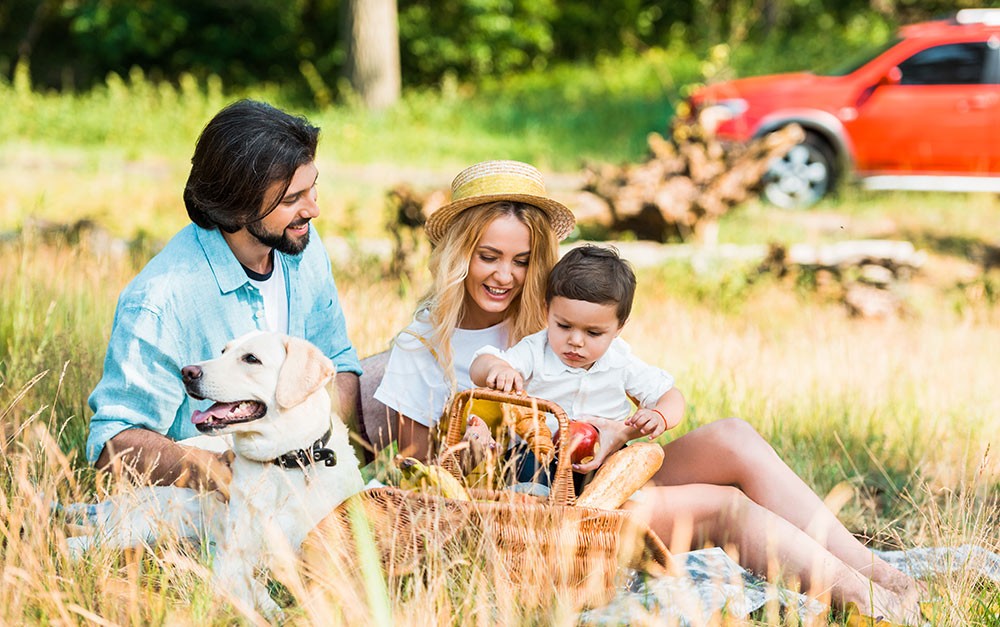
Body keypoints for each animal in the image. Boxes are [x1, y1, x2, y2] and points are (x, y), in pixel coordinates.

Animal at [66, 334, 364, 620]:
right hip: (152, 522)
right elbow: (245, 594)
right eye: (223, 351)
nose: (187, 372)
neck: (286, 464)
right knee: (79, 543)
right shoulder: (232, 558)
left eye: (251, 358)